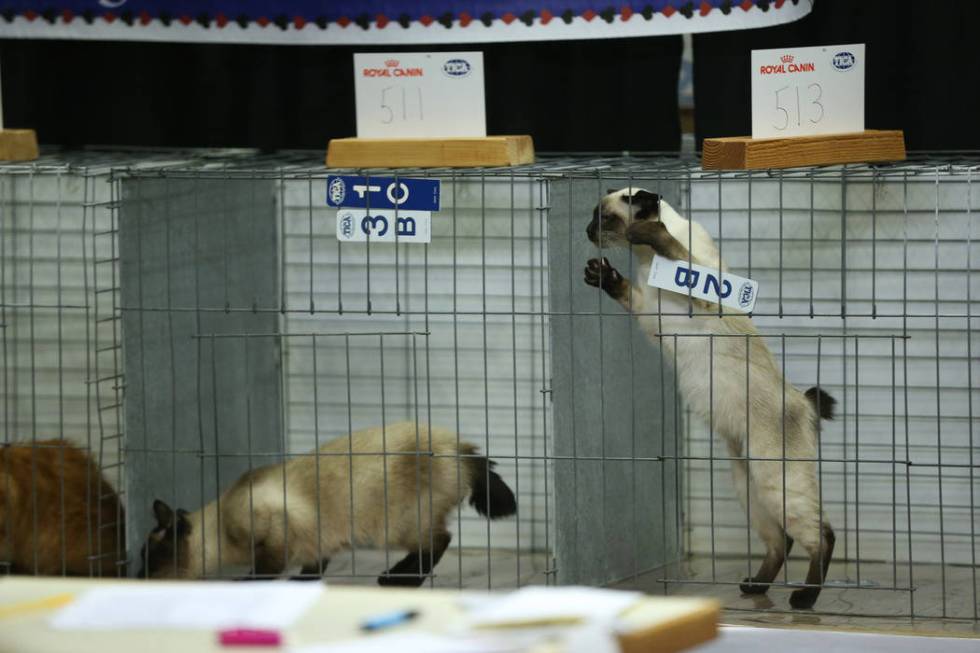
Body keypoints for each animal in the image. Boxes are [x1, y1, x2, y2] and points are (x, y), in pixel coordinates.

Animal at [584, 187, 840, 608]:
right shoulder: (648, 314)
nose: (588, 232)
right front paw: (601, 275)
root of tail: (804, 403)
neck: (645, 261)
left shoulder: (705, 298)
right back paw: (755, 587)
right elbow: (626, 291)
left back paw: (804, 598)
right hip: (749, 487)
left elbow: (678, 251)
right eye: (594, 219)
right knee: (781, 542)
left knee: (822, 536)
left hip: (777, 483)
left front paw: (652, 233)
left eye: (605, 220)